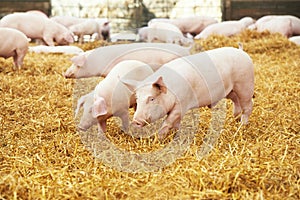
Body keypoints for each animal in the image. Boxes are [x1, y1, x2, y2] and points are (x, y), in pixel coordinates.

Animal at [123, 46, 254, 139]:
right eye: (137, 99)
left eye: (152, 98)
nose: (136, 121)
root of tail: (242, 52)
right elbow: (175, 124)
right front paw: (175, 135)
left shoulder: (182, 104)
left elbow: (167, 122)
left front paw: (159, 138)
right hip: (231, 90)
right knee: (236, 102)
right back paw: (235, 118)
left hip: (245, 85)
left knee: (248, 106)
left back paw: (242, 125)